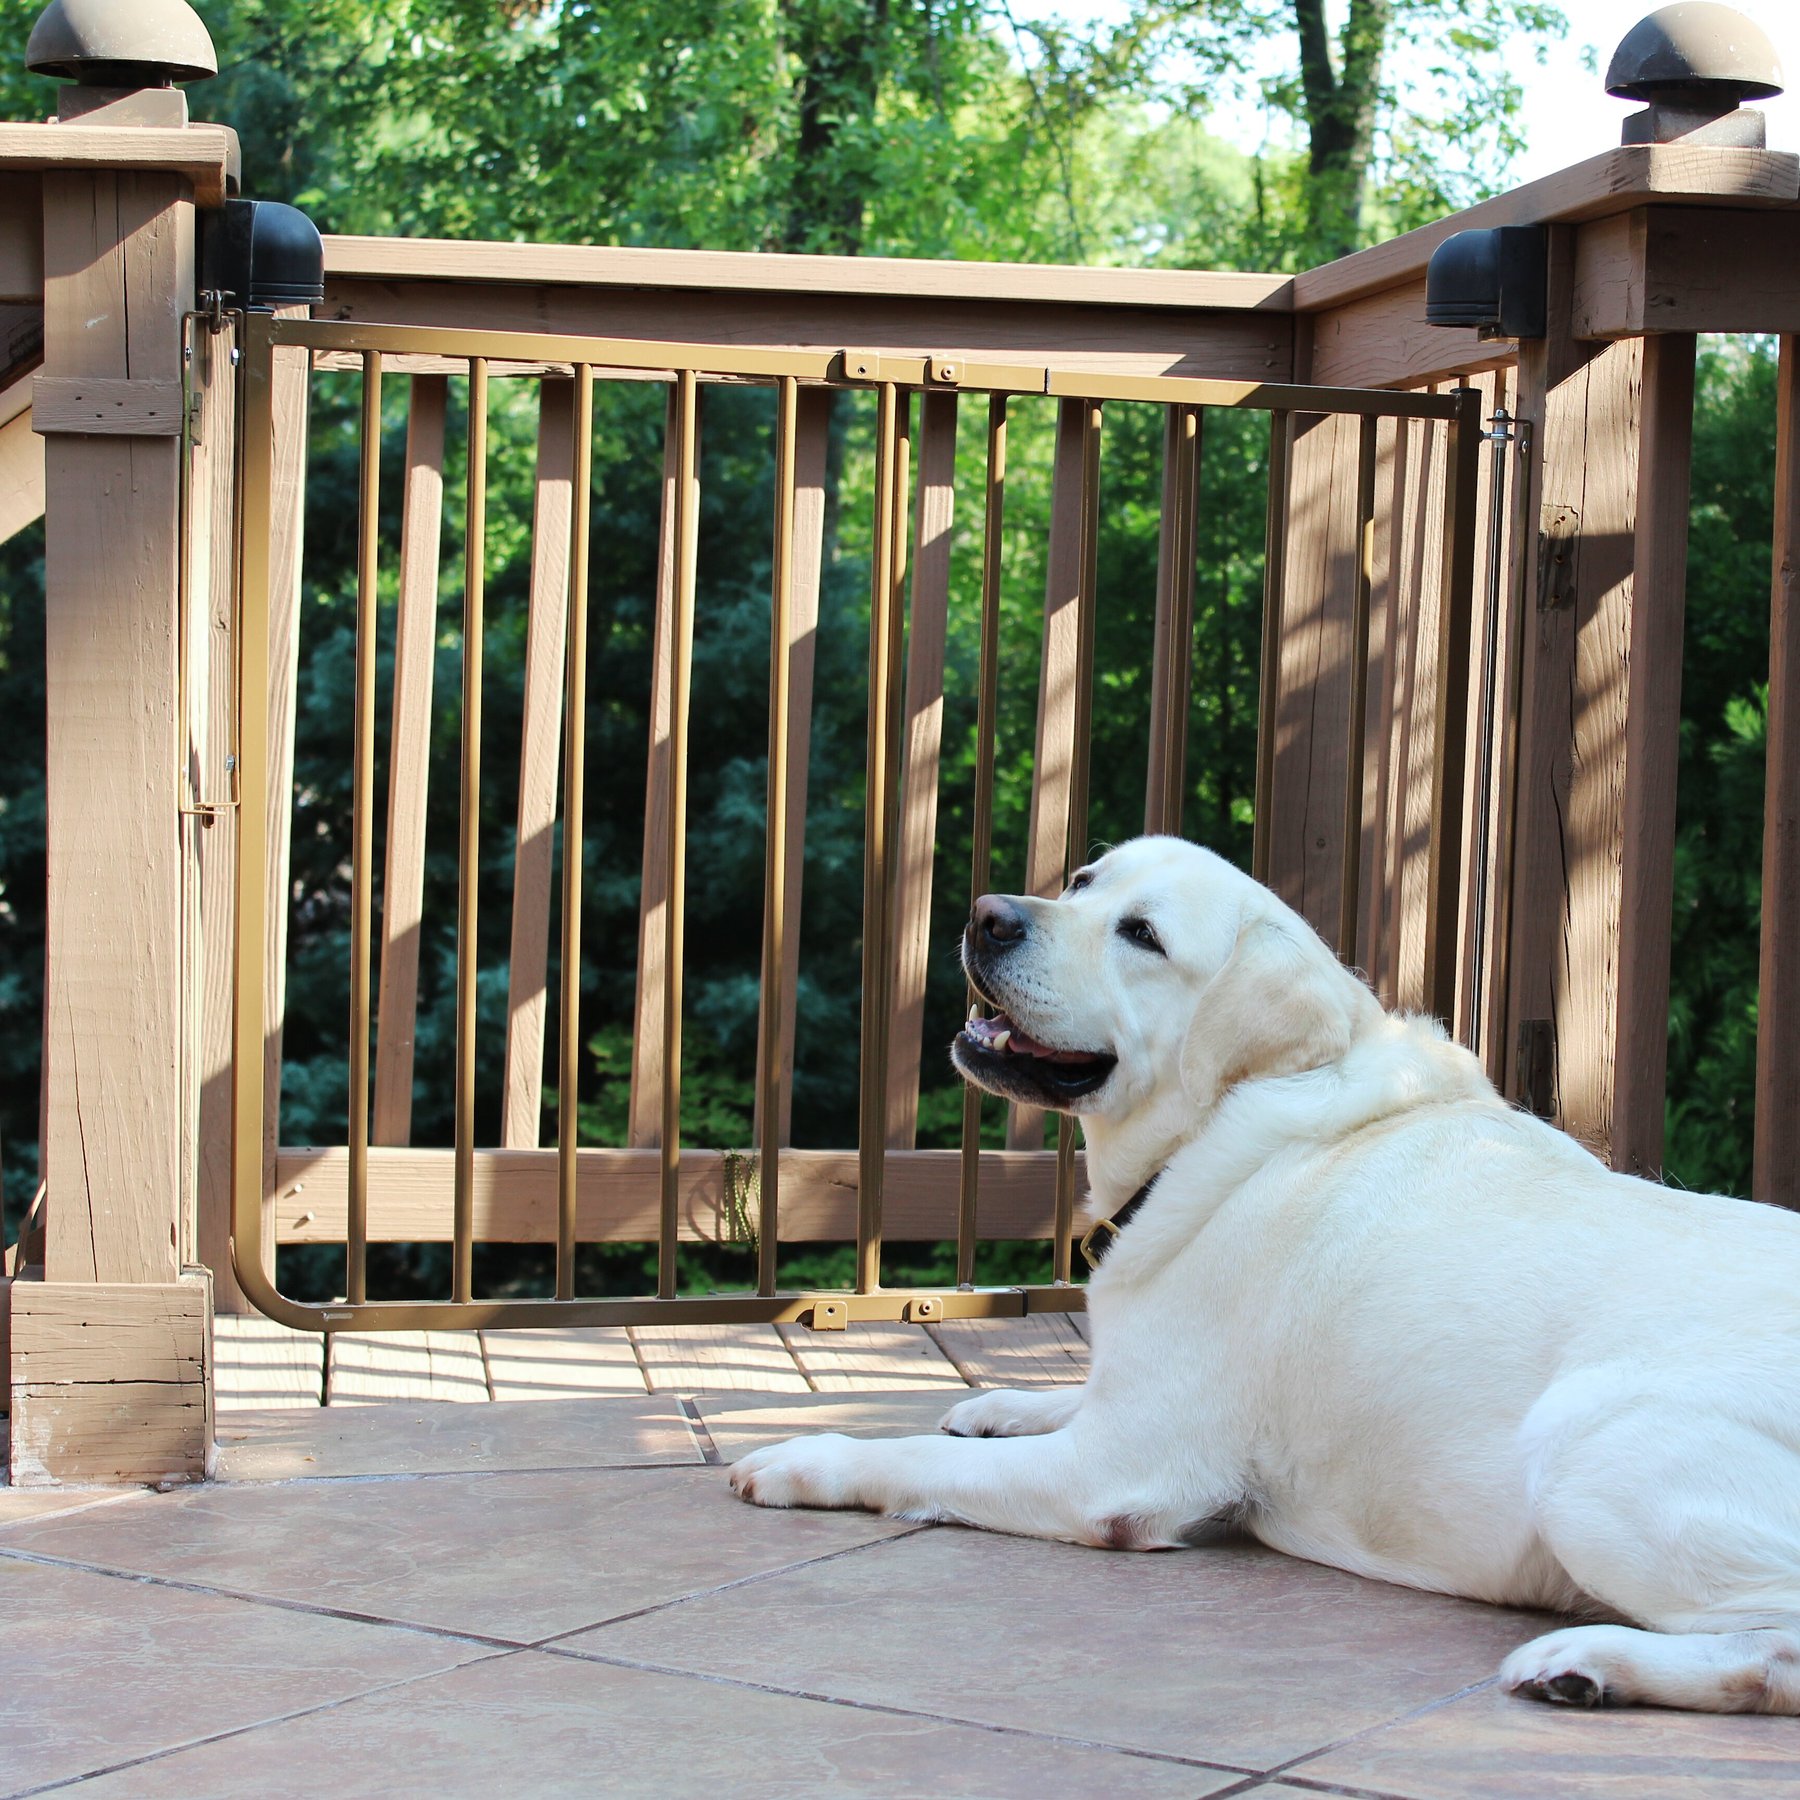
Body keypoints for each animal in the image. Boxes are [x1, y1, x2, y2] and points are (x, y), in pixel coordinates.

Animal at [727, 835, 1800, 1706]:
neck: (1226, 1117)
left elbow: (918, 1458)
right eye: (1083, 882)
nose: (989, 915)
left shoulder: (1114, 1472)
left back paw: (1589, 1661)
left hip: (1593, 1455)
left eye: (1143, 936)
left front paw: (805, 1459)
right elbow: (1057, 1395)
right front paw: (1003, 1400)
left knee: (1777, 1652)